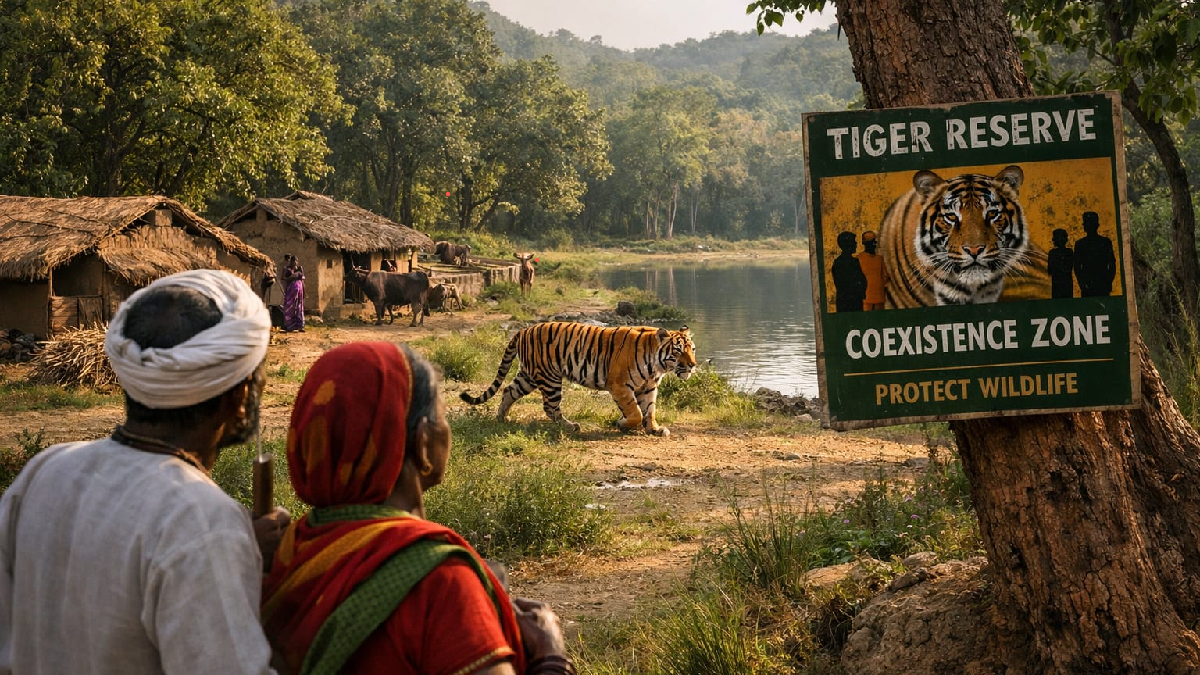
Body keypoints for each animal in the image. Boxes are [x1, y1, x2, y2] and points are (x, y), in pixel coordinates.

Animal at [459, 322, 697, 436]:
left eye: (692, 349)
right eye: (678, 351)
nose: (693, 365)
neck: (657, 366)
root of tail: (523, 330)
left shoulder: (648, 387)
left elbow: (649, 410)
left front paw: (654, 429)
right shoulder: (620, 385)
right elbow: (635, 412)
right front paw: (622, 424)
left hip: (528, 376)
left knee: (509, 390)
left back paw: (501, 418)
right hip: (550, 378)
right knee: (550, 407)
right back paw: (570, 427)